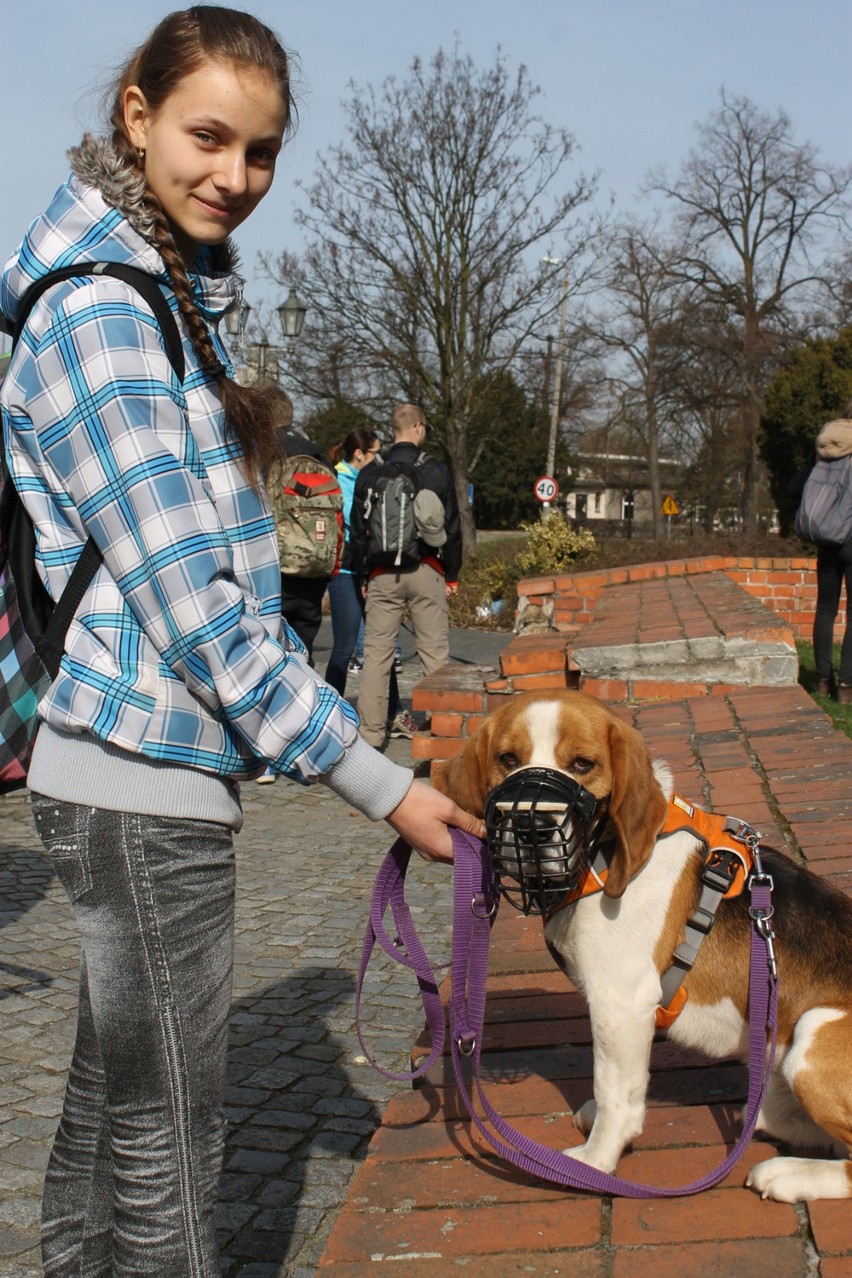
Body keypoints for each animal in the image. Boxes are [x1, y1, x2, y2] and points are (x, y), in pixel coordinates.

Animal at [434, 690, 852, 1196]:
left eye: (583, 763)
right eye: (508, 760)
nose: (532, 828)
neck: (603, 856)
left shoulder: (620, 1004)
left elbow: (614, 1093)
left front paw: (594, 1162)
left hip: (813, 1035)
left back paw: (787, 1174)